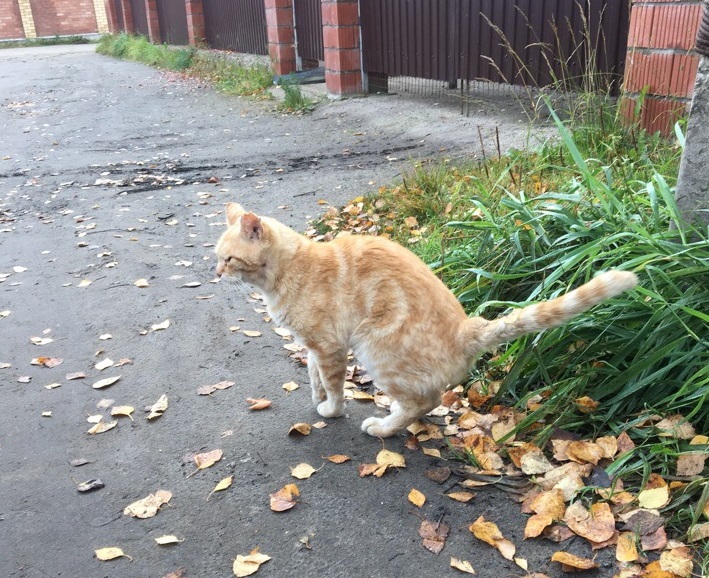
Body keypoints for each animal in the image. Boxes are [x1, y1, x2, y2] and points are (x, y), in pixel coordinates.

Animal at [215, 202, 638, 438]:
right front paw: (316, 395)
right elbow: (312, 372)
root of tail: (468, 327)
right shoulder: (313, 345)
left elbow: (334, 385)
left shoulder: (331, 347)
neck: (287, 271)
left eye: (228, 259)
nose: (214, 272)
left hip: (374, 347)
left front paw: (330, 409)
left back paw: (383, 428)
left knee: (424, 401)